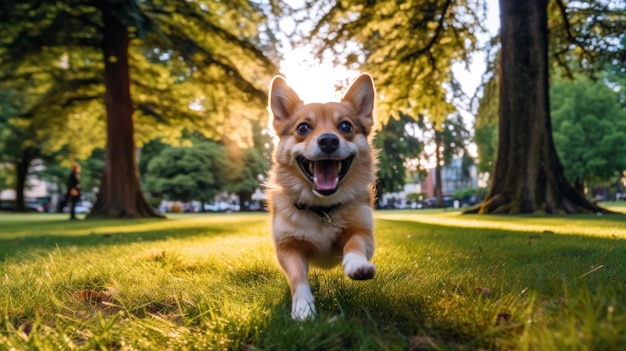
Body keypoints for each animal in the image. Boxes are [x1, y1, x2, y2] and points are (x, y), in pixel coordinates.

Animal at [264, 75, 376, 322]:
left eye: (346, 126)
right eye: (303, 127)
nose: (328, 141)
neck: (322, 208)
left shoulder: (364, 233)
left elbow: (354, 242)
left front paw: (357, 264)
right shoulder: (288, 248)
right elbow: (298, 278)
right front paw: (303, 308)